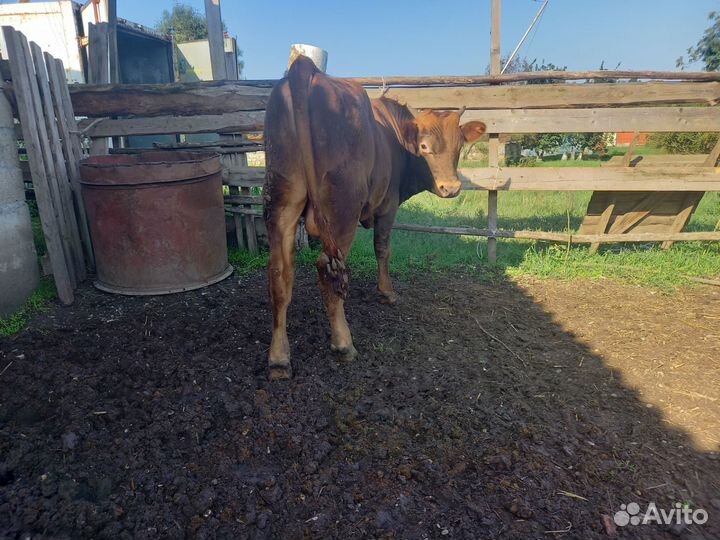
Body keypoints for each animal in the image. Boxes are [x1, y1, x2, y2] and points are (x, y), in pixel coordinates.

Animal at [263, 55, 486, 380]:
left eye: (459, 147)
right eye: (424, 147)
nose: (452, 187)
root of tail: (306, 69)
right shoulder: (388, 206)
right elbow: (383, 249)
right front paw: (387, 293)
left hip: (282, 197)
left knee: (280, 274)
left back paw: (279, 359)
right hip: (342, 209)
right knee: (327, 269)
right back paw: (343, 344)